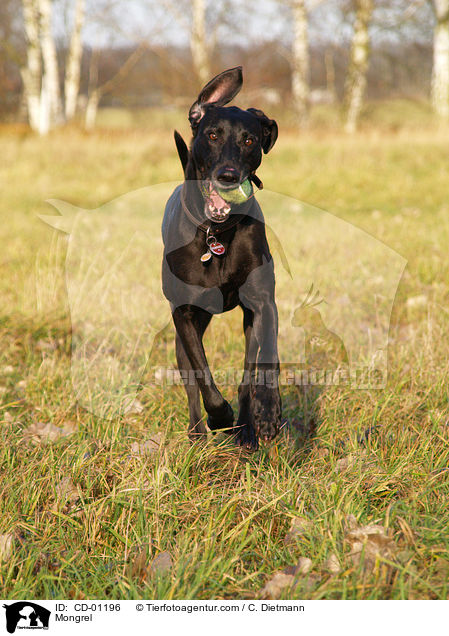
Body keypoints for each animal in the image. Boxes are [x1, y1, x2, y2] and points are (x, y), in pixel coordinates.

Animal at [161, 67, 280, 450]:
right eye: (212, 135)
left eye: (249, 140)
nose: (228, 176)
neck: (217, 234)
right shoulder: (184, 313)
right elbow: (202, 376)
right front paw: (220, 416)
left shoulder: (262, 303)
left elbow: (265, 361)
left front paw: (266, 413)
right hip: (185, 332)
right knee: (191, 384)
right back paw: (200, 432)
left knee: (247, 372)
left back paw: (245, 429)